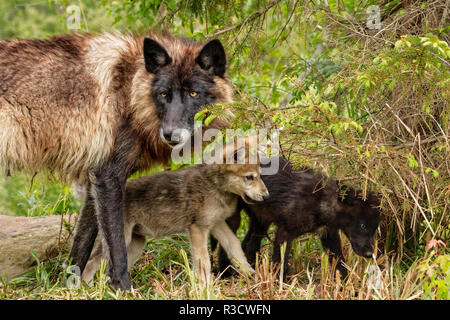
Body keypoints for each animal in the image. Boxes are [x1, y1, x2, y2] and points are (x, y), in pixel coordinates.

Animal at [0, 32, 232, 290]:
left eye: (193, 93)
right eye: (164, 94)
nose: (170, 134)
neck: (130, 94)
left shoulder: (94, 183)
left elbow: (81, 246)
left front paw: (69, 286)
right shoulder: (108, 177)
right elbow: (117, 246)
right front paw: (123, 288)